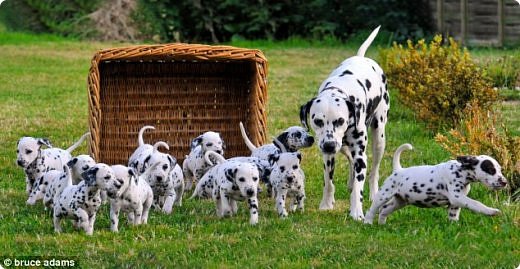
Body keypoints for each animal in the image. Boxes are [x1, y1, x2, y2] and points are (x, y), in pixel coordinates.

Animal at [298, 25, 388, 220]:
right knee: (350, 162)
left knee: (374, 171)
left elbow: (358, 187)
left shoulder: (361, 155)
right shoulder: (328, 156)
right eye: (317, 121)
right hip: (343, 147)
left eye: (340, 120)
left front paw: (356, 212)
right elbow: (328, 182)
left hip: (379, 138)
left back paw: (373, 193)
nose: (330, 145)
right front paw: (326, 204)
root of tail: (361, 57)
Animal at [364, 142, 506, 224]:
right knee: (372, 209)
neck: (461, 171)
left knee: (384, 210)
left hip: (400, 201)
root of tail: (398, 170)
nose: (504, 182)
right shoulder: (457, 197)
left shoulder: (455, 204)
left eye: (500, 170)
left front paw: (453, 226)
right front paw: (491, 211)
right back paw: (368, 223)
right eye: (491, 170)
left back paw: (382, 224)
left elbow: (453, 216)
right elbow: (475, 203)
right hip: (383, 195)